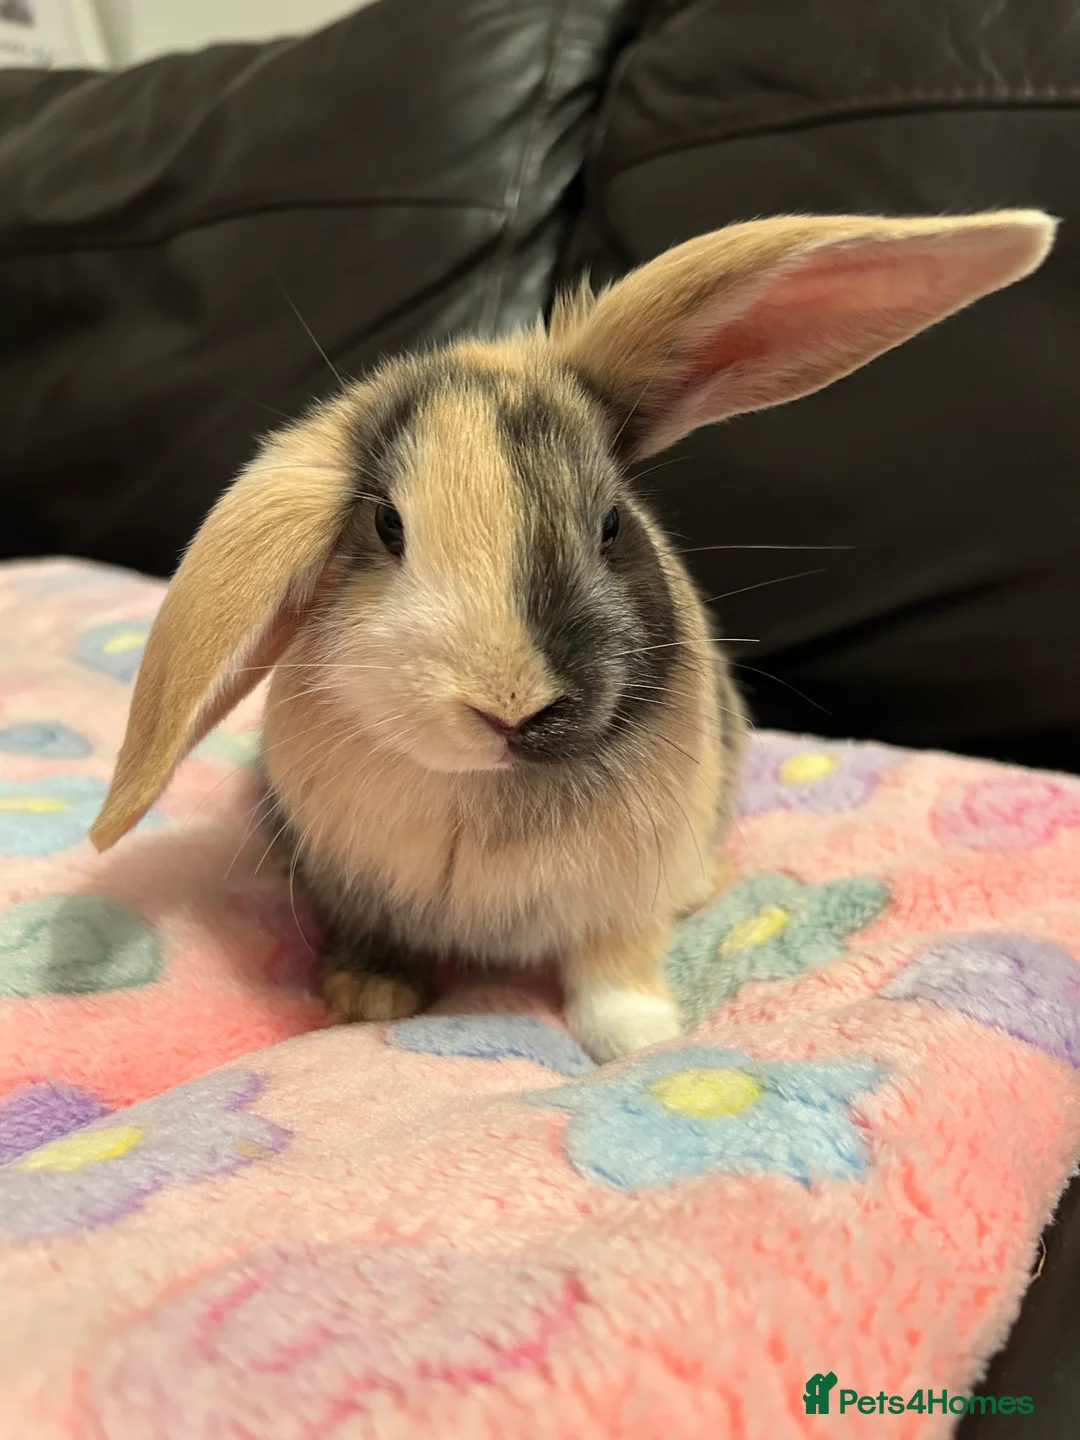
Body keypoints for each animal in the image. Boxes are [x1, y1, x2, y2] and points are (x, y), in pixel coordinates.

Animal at [90, 210, 1055, 1062]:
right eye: (386, 527)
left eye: (612, 526)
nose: (510, 706)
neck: (491, 790)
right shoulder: (357, 886)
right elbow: (374, 936)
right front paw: (369, 997)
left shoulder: (620, 899)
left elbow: (611, 971)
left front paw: (640, 1040)